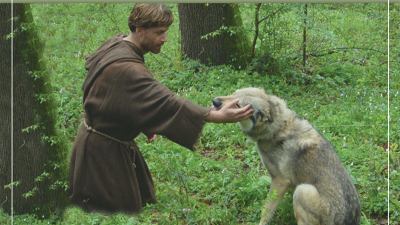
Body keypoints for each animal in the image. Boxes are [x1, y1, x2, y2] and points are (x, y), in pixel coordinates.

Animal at [214, 87, 360, 225]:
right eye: (233, 94)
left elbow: (266, 211)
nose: (214, 101)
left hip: (302, 191)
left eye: (238, 105)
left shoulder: (280, 181)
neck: (276, 128)